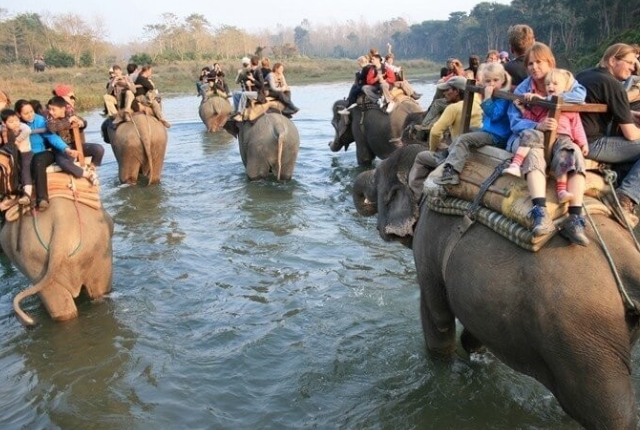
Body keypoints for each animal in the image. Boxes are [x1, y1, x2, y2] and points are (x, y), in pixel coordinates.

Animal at [353, 145, 640, 429]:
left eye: (377, 183)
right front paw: (474, 353)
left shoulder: (428, 243)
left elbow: (437, 318)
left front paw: (444, 367)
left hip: (583, 343)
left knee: (613, 412)